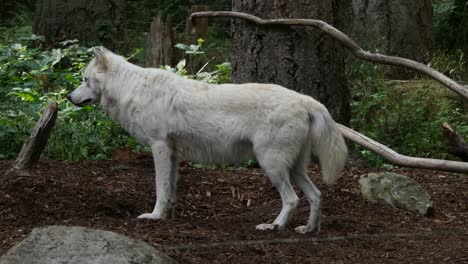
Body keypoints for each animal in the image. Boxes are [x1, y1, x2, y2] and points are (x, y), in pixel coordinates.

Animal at [68, 47, 348, 233]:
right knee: (316, 195)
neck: (132, 89)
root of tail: (305, 99)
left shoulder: (159, 147)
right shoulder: (173, 153)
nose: (69, 97)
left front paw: (154, 216)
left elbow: (160, 188)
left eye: (84, 79)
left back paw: (274, 226)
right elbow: (170, 189)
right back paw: (309, 229)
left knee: (292, 199)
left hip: (272, 165)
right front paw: (168, 216)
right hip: (294, 168)